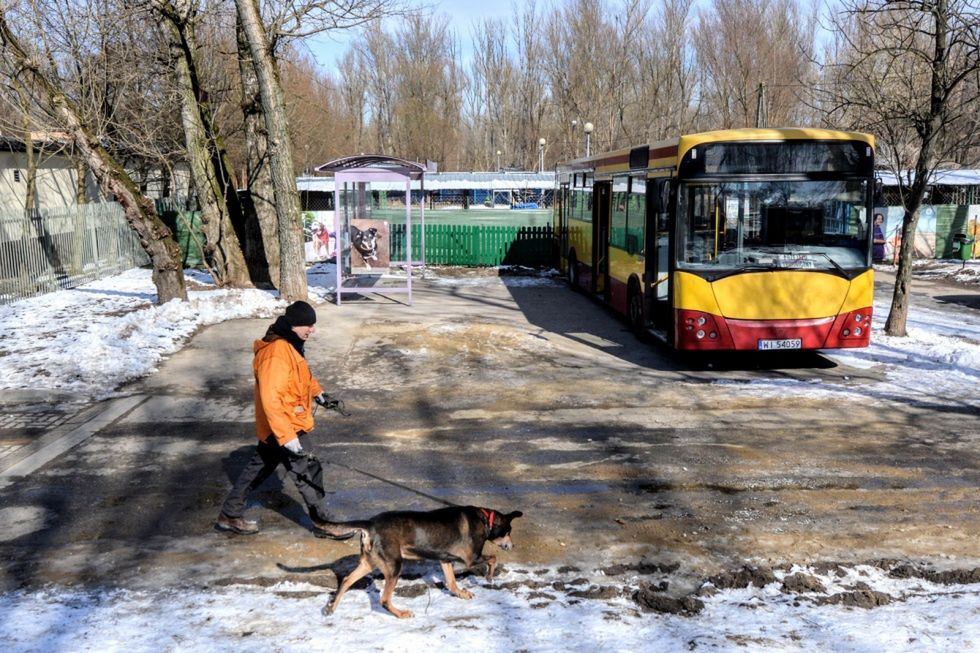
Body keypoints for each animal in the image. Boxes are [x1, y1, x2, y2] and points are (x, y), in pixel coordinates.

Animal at [322, 504, 520, 616]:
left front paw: (461, 594)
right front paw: (489, 576)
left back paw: (331, 607)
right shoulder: (472, 558)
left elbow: (452, 583)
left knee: (346, 580)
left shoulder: (445, 560)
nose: (512, 546)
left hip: (369, 563)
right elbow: (493, 558)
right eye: (508, 531)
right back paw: (401, 614)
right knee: (384, 600)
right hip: (394, 567)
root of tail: (369, 524)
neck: (486, 520)